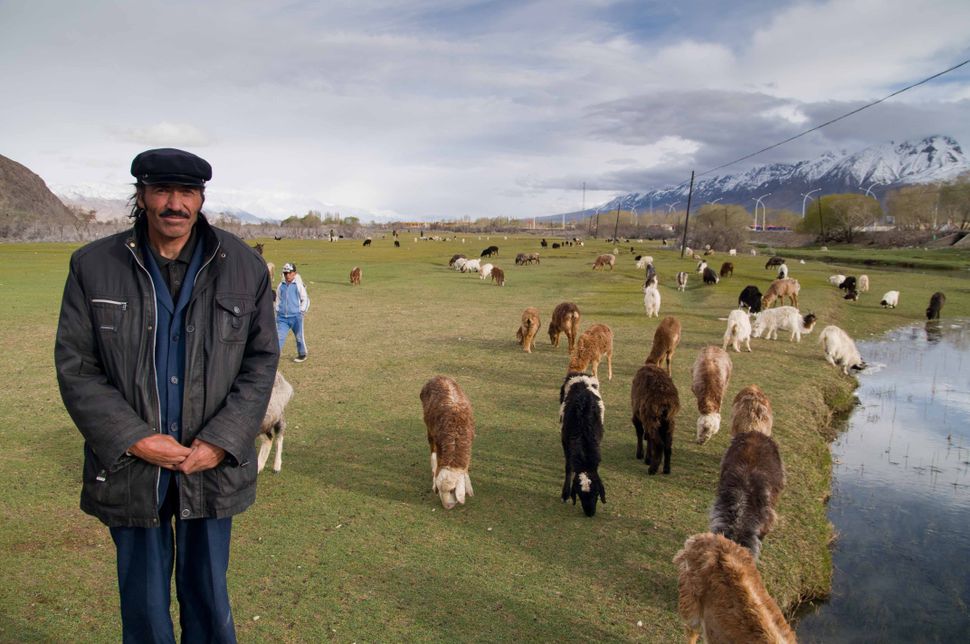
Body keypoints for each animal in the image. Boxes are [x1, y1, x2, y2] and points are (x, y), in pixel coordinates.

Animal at [418, 374, 474, 510]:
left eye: (452, 490)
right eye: (439, 490)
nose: (447, 506)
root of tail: (438, 376)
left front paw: (468, 486)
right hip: (429, 428)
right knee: (432, 450)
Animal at [560, 372, 604, 520]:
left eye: (596, 493)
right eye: (579, 494)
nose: (590, 513)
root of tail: (580, 374)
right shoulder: (565, 440)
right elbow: (569, 467)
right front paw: (565, 494)